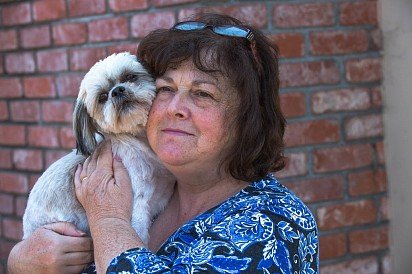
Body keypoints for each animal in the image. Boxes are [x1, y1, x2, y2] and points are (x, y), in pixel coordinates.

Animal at [22, 52, 174, 245]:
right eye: (102, 97)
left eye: (130, 77)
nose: (117, 90)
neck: (139, 142)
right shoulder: (139, 205)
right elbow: (139, 232)